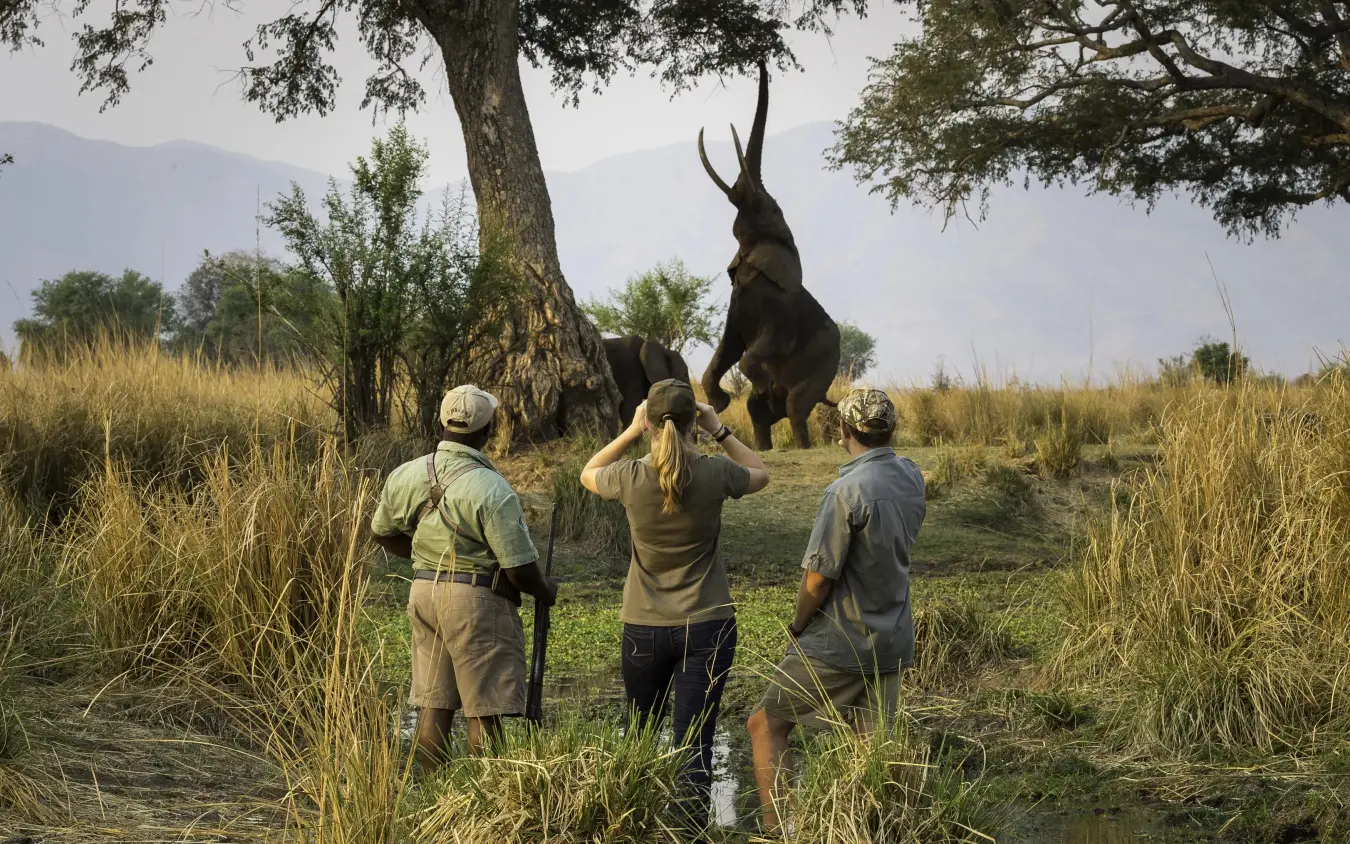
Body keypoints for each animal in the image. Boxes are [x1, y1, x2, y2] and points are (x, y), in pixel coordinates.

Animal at [698, 61, 841, 451]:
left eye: (771, 207)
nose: (761, 59)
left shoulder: (781, 314)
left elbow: (752, 352)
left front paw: (755, 382)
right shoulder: (736, 305)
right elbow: (727, 349)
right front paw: (719, 401)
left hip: (823, 368)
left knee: (796, 406)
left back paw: (800, 442)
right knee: (758, 412)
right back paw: (762, 444)